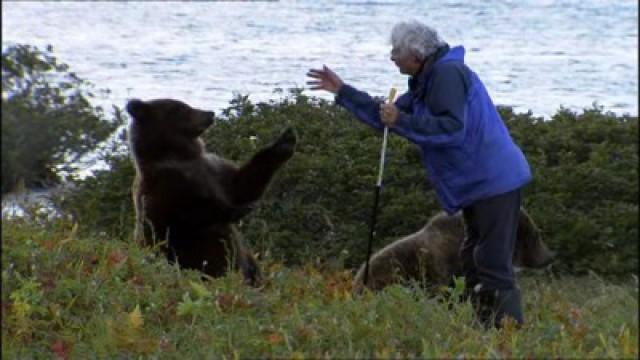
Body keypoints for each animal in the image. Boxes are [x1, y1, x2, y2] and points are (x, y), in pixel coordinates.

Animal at [125, 97, 298, 284]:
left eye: (185, 104)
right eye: (180, 108)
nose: (209, 113)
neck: (180, 155)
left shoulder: (215, 172)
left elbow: (243, 185)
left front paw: (285, 141)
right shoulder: (165, 187)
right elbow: (190, 214)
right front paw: (239, 209)